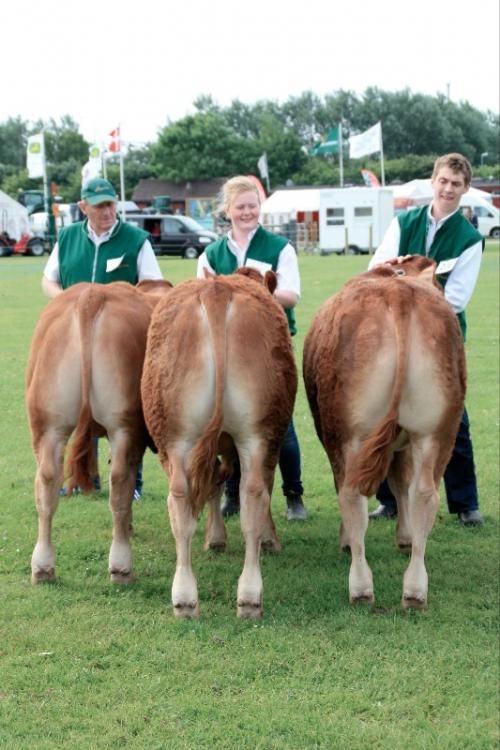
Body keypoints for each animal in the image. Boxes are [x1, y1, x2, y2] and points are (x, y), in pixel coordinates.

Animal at [26, 280, 172, 588]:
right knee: (120, 482)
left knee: (46, 484)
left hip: (47, 425)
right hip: (124, 426)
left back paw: (43, 568)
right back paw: (122, 567)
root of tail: (90, 297)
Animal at [142, 274, 296, 620]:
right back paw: (248, 596)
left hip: (178, 437)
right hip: (257, 433)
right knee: (252, 497)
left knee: (182, 503)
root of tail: (217, 289)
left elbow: (213, 484)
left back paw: (187, 599)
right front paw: (261, 540)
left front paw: (215, 538)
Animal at [302, 258, 466, 612]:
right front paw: (405, 537)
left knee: (351, 493)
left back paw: (361, 586)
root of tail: (398, 293)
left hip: (348, 433)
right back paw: (415, 590)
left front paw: (350, 541)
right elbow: (402, 482)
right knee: (425, 495)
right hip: (437, 431)